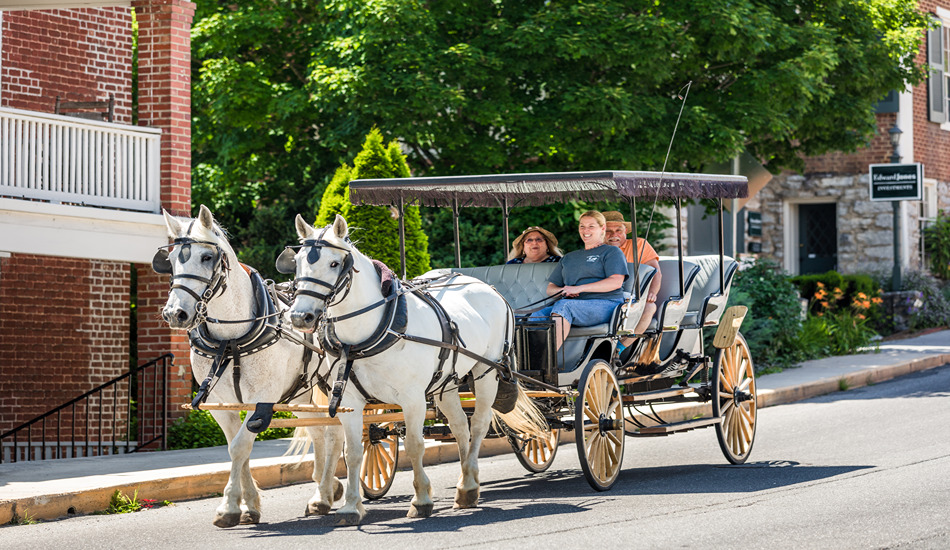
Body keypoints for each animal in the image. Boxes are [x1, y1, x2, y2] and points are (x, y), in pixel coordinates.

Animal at [156, 206, 346, 532]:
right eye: (170, 260)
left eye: (207, 257)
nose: (175, 313)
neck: (231, 339)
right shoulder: (221, 404)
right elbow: (237, 449)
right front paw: (248, 505)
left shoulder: (262, 400)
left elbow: (239, 447)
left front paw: (229, 507)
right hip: (301, 394)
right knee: (320, 432)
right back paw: (325, 489)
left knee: (336, 433)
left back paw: (323, 495)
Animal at [286, 216, 548, 528]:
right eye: (298, 261)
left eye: (335, 263)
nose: (300, 317)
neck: (371, 331)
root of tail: (491, 289)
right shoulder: (350, 400)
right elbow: (353, 453)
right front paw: (350, 506)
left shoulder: (412, 398)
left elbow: (413, 445)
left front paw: (421, 500)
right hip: (446, 383)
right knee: (460, 427)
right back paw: (465, 485)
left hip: (487, 371)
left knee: (479, 424)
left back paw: (470, 485)